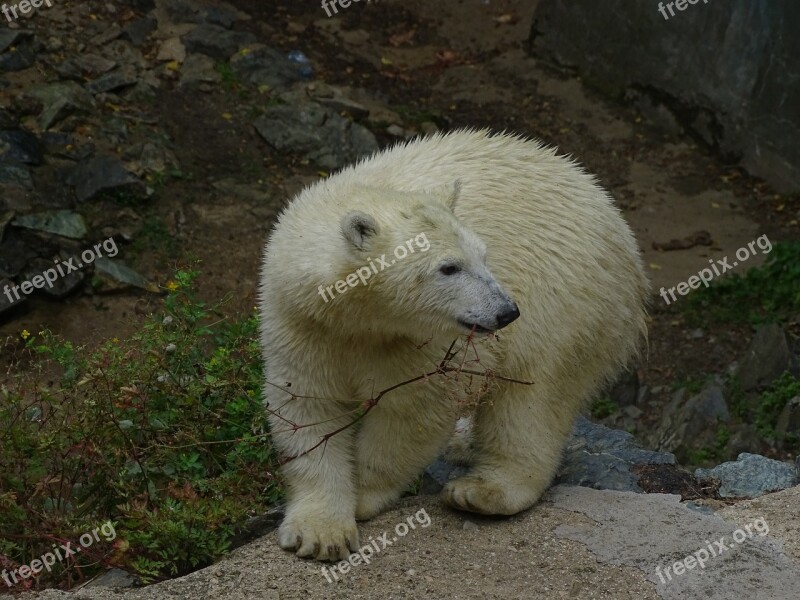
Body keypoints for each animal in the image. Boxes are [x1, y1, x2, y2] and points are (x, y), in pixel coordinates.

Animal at [260, 129, 648, 560]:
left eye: (484, 256)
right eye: (449, 267)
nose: (506, 311)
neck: (359, 317)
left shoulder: (424, 342)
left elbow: (414, 411)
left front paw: (364, 494)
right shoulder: (303, 322)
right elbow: (308, 407)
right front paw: (319, 533)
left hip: (567, 297)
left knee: (534, 399)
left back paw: (483, 491)